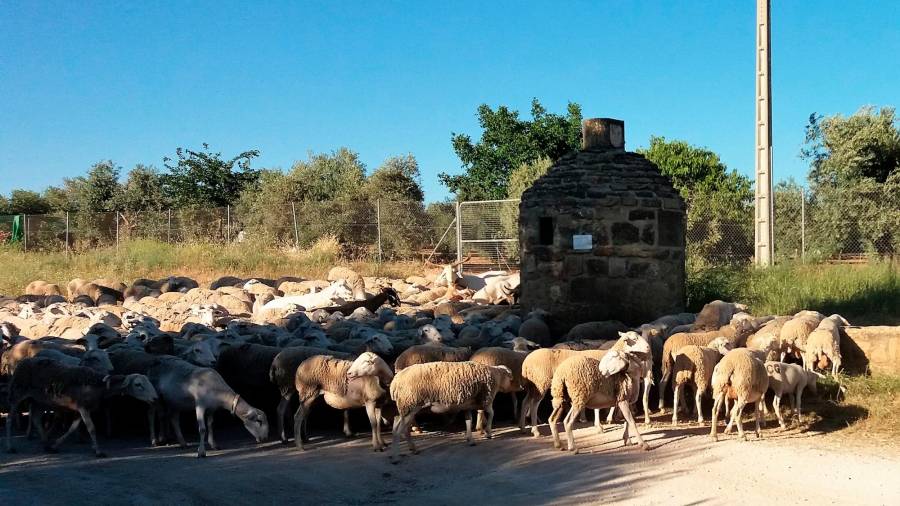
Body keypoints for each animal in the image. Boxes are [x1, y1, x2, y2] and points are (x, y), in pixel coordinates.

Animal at [4, 356, 158, 458]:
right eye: (138, 385)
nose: (155, 398)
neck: (99, 386)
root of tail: (23, 361)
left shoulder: (80, 409)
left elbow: (73, 428)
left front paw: (56, 444)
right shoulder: (83, 408)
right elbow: (91, 428)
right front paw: (98, 451)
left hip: (40, 400)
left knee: (36, 418)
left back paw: (46, 444)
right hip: (17, 393)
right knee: (10, 419)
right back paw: (10, 447)